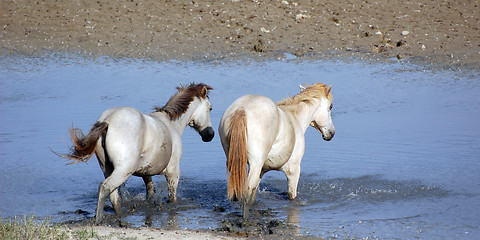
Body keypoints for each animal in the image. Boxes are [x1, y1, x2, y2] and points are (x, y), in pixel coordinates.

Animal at [56, 83, 214, 224]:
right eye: (210, 108)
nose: (210, 134)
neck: (171, 125)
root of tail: (108, 121)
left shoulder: (146, 172)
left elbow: (150, 191)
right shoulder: (173, 173)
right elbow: (172, 198)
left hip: (107, 168)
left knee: (114, 196)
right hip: (124, 170)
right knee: (105, 187)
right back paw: (99, 219)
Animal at [218, 82, 334, 218]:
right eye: (330, 107)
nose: (331, 133)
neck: (294, 119)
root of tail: (241, 109)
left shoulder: (262, 170)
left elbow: (253, 196)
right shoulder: (294, 170)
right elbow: (292, 196)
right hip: (255, 164)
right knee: (245, 195)